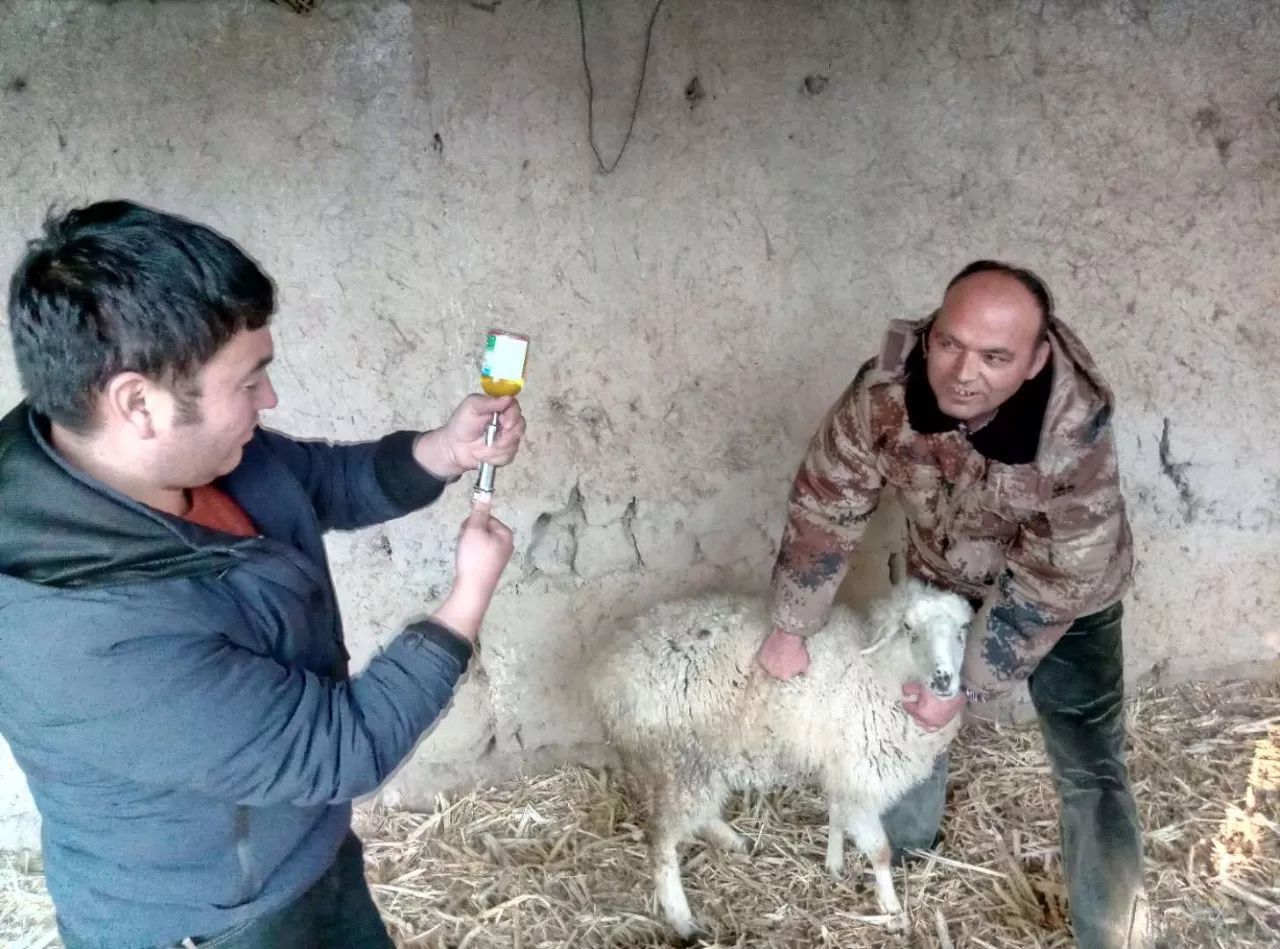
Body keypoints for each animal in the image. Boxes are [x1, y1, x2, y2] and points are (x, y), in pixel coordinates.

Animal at [586, 571, 967, 942]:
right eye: (908, 627)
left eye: (962, 631)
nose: (943, 680)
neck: (881, 672)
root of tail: (606, 673)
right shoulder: (860, 774)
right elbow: (880, 851)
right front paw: (892, 909)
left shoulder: (840, 767)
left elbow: (836, 815)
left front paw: (834, 864)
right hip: (680, 759)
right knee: (661, 841)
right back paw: (683, 920)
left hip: (692, 760)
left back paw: (733, 841)